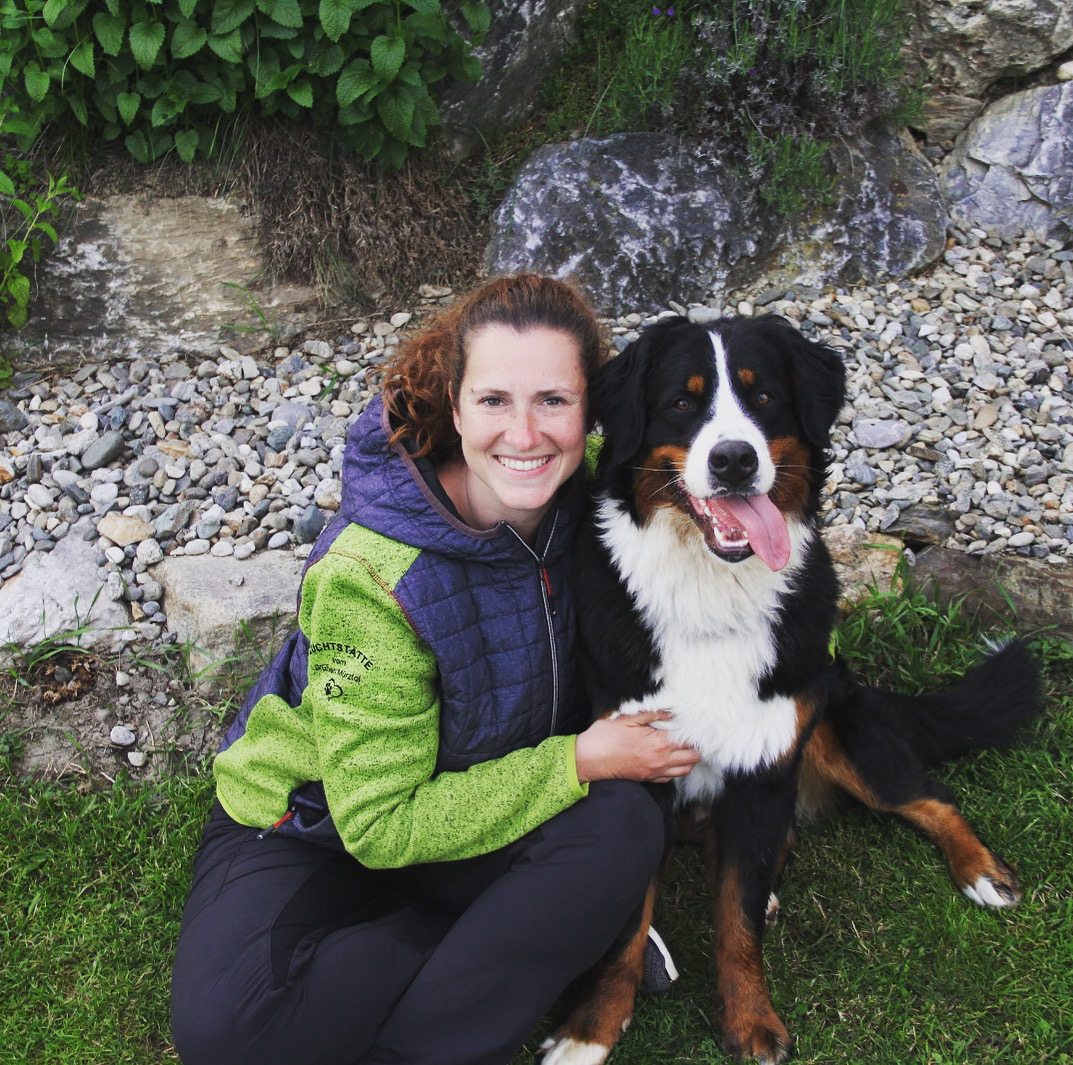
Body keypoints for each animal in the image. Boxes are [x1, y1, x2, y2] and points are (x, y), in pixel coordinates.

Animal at [541, 314, 1041, 1065]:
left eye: (765, 397)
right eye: (682, 402)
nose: (734, 461)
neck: (710, 593)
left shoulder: (763, 759)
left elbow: (737, 923)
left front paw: (751, 1023)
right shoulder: (633, 764)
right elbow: (628, 928)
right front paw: (591, 1029)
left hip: (836, 727)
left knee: (928, 797)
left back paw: (982, 871)